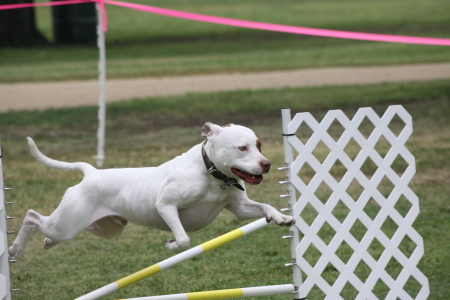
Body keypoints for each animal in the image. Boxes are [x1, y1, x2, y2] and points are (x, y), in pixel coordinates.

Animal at [9, 122, 296, 260]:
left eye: (259, 145)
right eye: (242, 148)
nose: (267, 164)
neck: (211, 174)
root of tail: (91, 172)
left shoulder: (239, 209)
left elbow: (264, 206)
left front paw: (281, 217)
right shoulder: (167, 206)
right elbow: (184, 239)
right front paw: (171, 245)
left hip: (101, 228)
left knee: (51, 230)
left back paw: (47, 243)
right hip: (67, 223)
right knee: (32, 217)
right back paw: (15, 249)